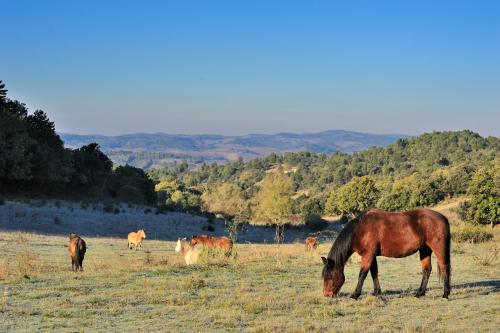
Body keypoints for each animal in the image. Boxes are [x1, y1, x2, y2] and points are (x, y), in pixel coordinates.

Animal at [322, 208, 452, 298]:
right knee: (427, 269)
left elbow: (362, 274)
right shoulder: (371, 255)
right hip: (425, 249)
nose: (327, 295)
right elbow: (374, 272)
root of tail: (443, 218)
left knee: (443, 266)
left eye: (330, 276)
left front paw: (355, 295)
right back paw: (419, 293)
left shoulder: (368, 255)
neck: (360, 230)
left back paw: (445, 294)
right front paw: (377, 292)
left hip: (437, 248)